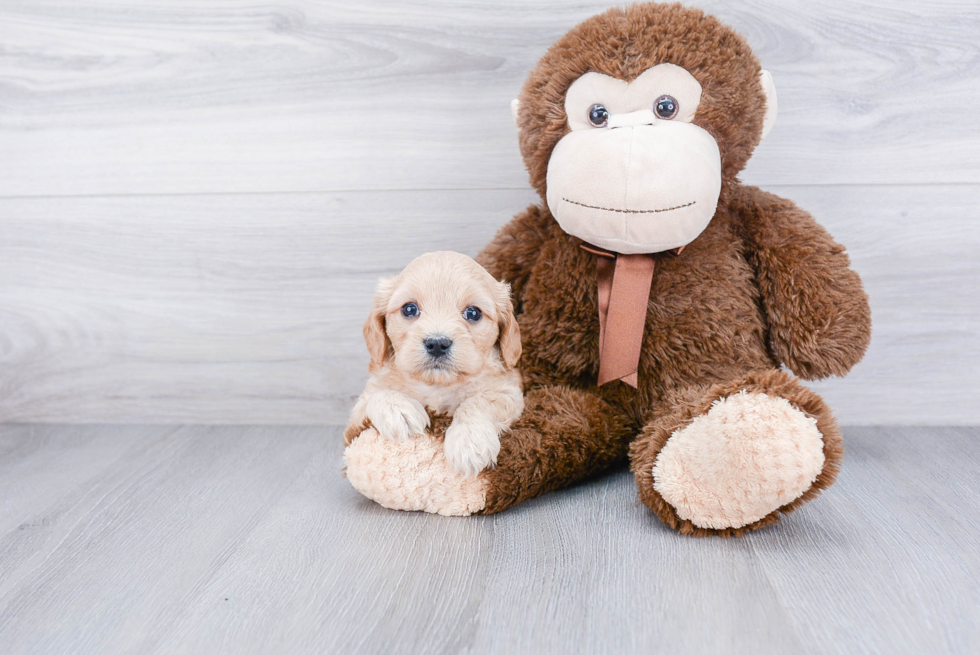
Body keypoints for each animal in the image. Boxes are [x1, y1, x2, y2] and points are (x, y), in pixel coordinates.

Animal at [348, 251, 524, 476]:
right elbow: (375, 396)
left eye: (473, 313)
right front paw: (399, 409)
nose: (438, 344)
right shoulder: (356, 417)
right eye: (410, 309)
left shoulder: (510, 393)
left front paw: (468, 441)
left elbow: (479, 401)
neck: (437, 385)